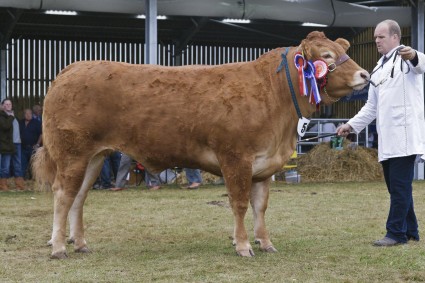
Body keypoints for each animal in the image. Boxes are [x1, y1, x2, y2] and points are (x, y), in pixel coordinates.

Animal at [34, 31, 368, 260]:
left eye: (343, 51)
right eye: (326, 56)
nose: (364, 74)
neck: (274, 96)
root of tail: (74, 67)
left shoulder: (265, 164)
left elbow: (260, 206)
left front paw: (265, 242)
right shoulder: (236, 158)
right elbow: (240, 203)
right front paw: (243, 245)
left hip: (95, 156)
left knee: (78, 197)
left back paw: (81, 244)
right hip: (72, 154)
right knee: (63, 195)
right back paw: (59, 247)